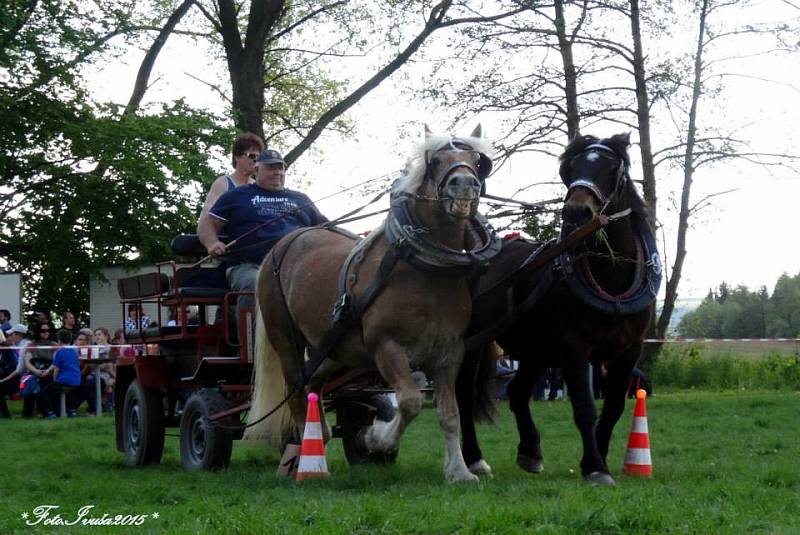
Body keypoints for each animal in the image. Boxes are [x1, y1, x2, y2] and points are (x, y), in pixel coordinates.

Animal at [247, 126, 504, 486]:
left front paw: (459, 470)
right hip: (286, 339)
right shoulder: (387, 347)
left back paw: (319, 437)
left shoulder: (449, 353)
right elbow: (409, 402)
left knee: (313, 384)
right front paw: (375, 439)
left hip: (334, 348)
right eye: (436, 160)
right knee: (296, 390)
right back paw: (303, 460)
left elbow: (449, 414)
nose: (465, 183)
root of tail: (282, 244)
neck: (426, 268)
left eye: (477, 161)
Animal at [456, 134, 664, 486]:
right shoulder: (575, 348)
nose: (578, 211)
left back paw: (530, 452)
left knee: (517, 392)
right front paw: (595, 467)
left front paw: (600, 458)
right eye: (570, 170)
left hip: (535, 350)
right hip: (476, 344)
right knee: (464, 395)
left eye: (611, 168)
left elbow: (612, 409)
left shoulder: (629, 352)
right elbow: (583, 406)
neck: (612, 280)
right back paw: (474, 459)